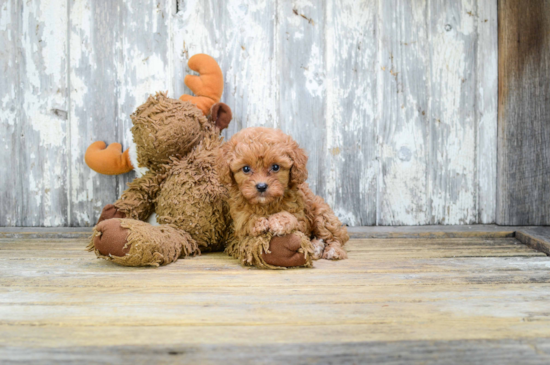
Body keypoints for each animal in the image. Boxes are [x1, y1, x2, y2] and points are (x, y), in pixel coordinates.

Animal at [219, 126, 350, 266]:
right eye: (246, 169)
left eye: (275, 167)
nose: (261, 186)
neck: (266, 204)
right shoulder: (238, 221)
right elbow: (246, 221)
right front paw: (258, 222)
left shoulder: (302, 220)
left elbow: (291, 218)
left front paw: (279, 221)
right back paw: (316, 247)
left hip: (322, 215)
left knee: (333, 237)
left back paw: (331, 251)